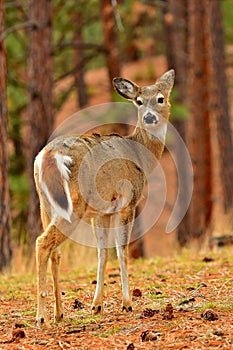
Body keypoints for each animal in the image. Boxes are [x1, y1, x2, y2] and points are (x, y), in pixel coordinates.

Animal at [33, 69, 174, 326]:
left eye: (160, 98)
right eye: (139, 101)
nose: (149, 118)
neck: (141, 155)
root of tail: (47, 157)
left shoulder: (100, 212)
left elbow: (102, 252)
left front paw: (97, 305)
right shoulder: (128, 203)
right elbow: (122, 250)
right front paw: (127, 303)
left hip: (45, 205)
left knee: (54, 251)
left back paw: (59, 313)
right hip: (73, 203)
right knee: (43, 242)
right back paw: (41, 316)